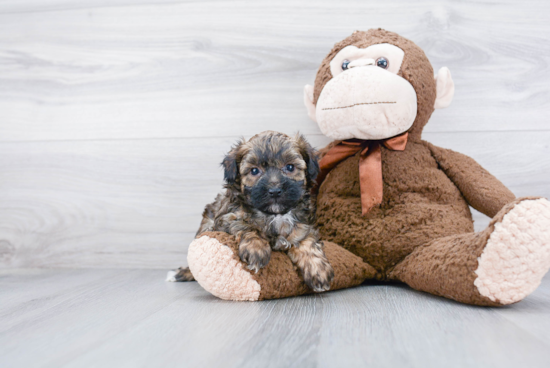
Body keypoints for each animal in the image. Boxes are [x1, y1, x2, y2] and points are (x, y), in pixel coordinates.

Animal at [170, 131, 336, 292]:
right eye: (254, 170)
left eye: (290, 167)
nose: (275, 190)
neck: (275, 215)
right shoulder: (226, 218)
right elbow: (247, 225)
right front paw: (256, 249)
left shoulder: (304, 226)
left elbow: (307, 241)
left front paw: (318, 269)